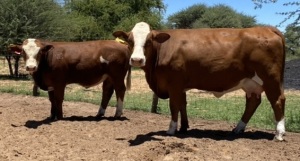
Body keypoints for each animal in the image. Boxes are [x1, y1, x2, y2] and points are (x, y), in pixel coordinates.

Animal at [114, 21, 286, 141]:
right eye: (130, 41)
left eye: (149, 41)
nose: (137, 60)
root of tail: (267, 29)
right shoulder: (181, 85)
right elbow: (182, 105)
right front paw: (184, 127)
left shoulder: (174, 83)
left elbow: (174, 106)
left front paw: (171, 129)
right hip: (251, 83)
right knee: (253, 102)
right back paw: (238, 129)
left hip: (271, 78)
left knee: (278, 100)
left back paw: (279, 133)